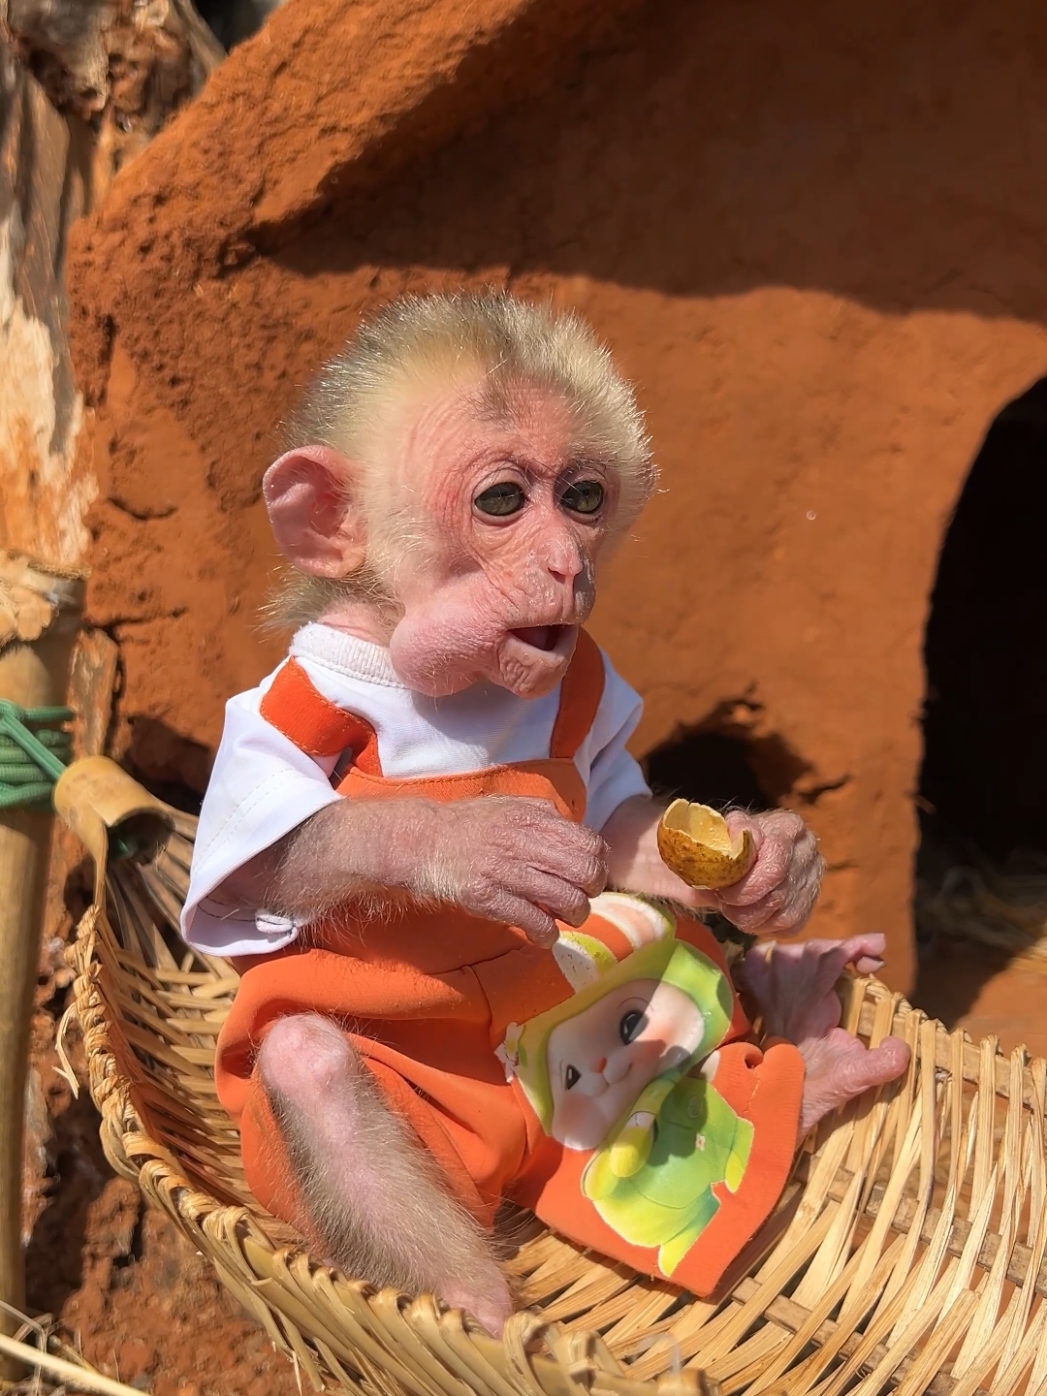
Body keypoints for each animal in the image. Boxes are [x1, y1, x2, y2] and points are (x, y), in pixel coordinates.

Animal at [184, 291, 915, 1328]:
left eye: (582, 498)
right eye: (501, 502)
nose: (569, 563)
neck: (452, 694)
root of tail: (525, 1165)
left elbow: (618, 825)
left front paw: (775, 862)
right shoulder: (280, 699)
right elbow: (262, 863)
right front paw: (467, 846)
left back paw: (799, 1047)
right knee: (309, 1065)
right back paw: (478, 1310)